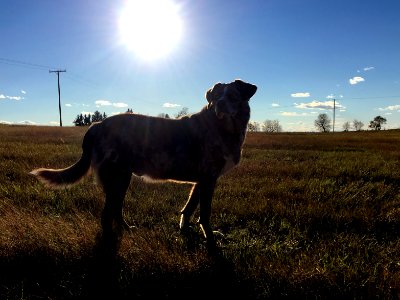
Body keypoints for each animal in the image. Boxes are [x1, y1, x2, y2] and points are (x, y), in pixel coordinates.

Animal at [30, 79, 256, 248]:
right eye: (216, 96)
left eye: (232, 96)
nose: (220, 104)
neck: (223, 127)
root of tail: (96, 125)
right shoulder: (209, 179)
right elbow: (205, 214)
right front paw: (210, 239)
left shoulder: (201, 181)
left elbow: (190, 207)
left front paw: (184, 230)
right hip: (116, 177)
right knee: (107, 213)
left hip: (122, 179)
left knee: (116, 209)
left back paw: (127, 230)